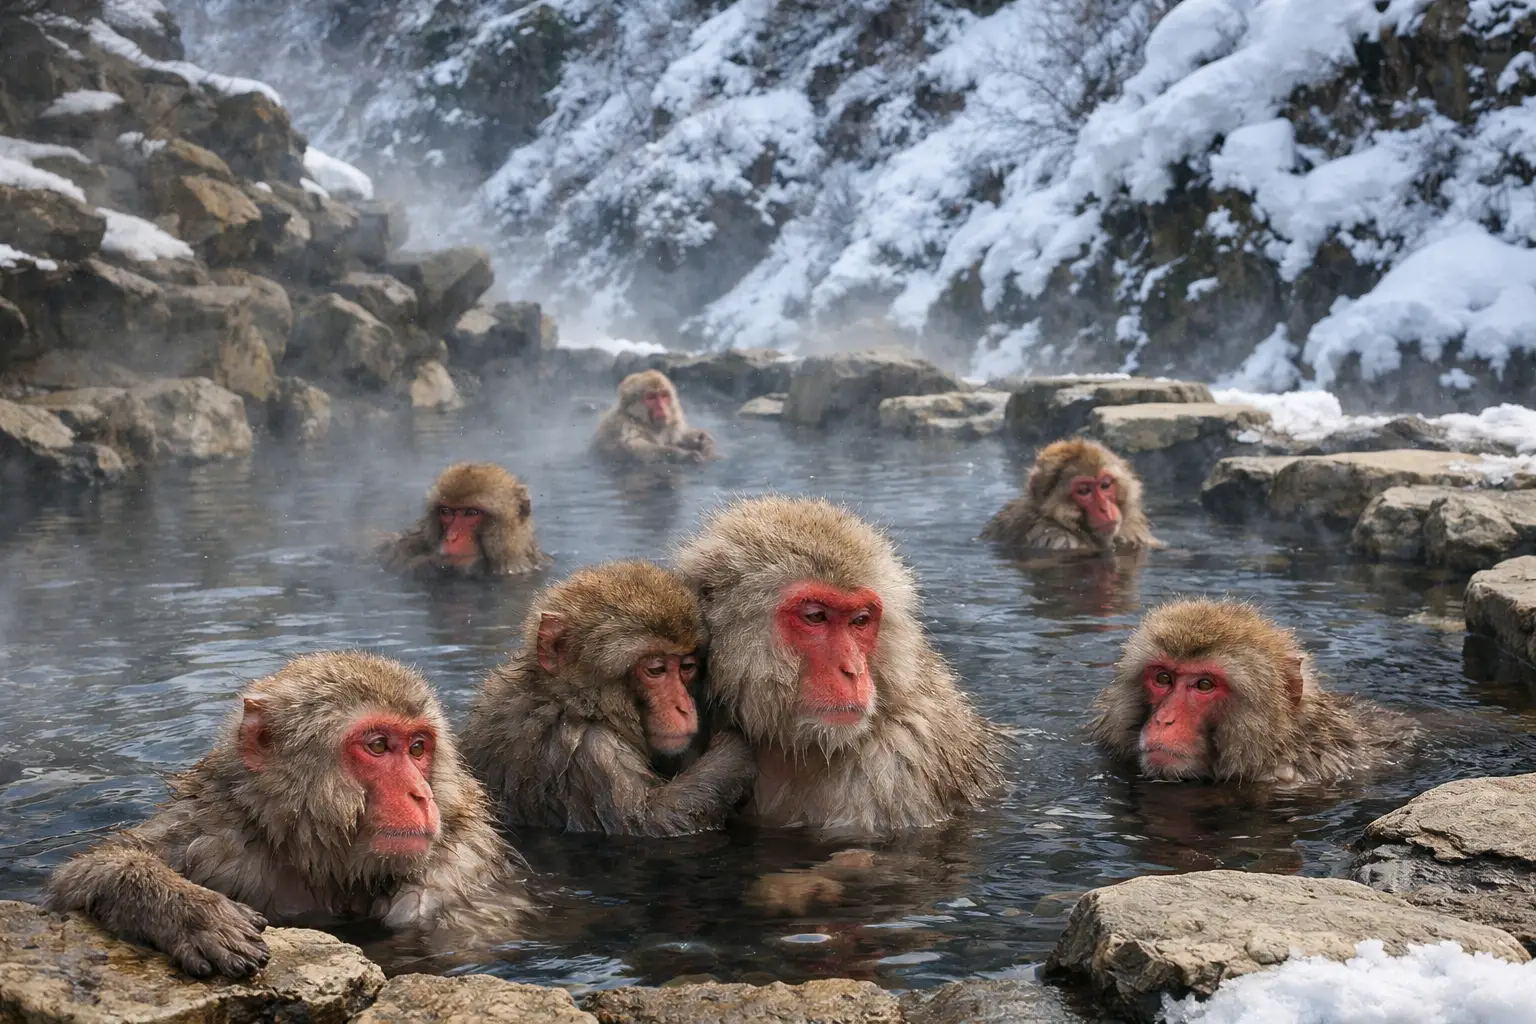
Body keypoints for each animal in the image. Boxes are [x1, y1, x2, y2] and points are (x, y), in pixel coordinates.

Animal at [47, 652, 528, 979]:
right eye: (377, 746)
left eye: (417, 748)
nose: (421, 795)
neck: (325, 863)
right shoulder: (211, 830)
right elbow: (83, 875)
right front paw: (190, 912)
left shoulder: (457, 866)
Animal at [462, 560, 755, 837]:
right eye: (656, 669)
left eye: (687, 667)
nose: (683, 707)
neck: (568, 701)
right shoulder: (590, 752)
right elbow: (650, 821)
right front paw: (735, 745)